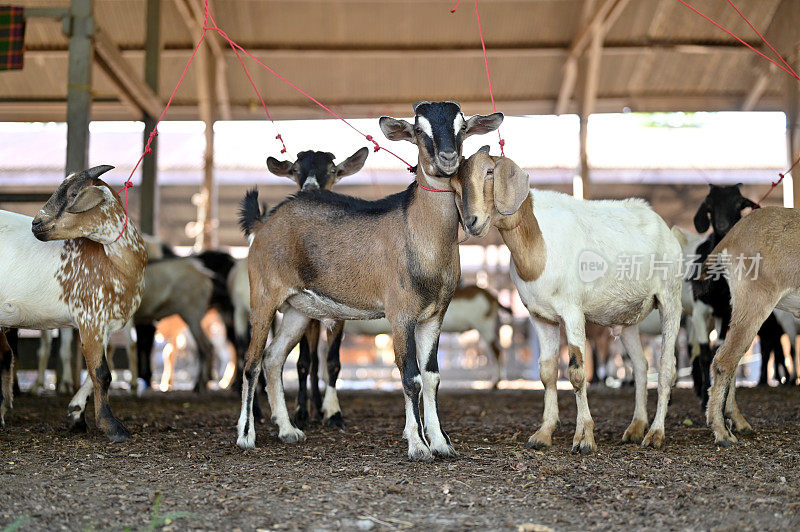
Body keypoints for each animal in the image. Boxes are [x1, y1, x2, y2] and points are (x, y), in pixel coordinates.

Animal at [0, 167, 147, 440]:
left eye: (73, 193)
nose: (36, 223)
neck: (113, 263)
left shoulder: (103, 325)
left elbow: (96, 371)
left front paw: (75, 414)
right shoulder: (90, 316)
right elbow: (102, 374)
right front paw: (112, 427)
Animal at [234, 102, 504, 460]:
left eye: (462, 128)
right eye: (419, 131)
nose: (448, 158)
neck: (419, 235)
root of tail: (263, 222)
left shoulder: (435, 314)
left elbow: (431, 376)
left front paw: (441, 442)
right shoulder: (400, 313)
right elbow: (411, 376)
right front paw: (418, 445)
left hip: (298, 308)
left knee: (273, 358)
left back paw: (289, 430)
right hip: (264, 295)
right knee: (251, 362)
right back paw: (246, 435)